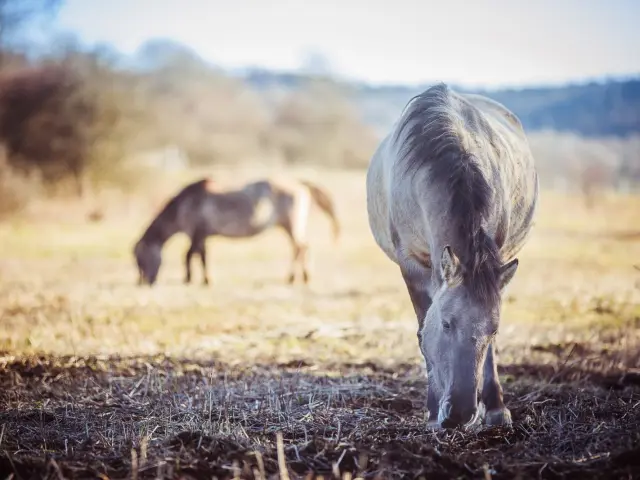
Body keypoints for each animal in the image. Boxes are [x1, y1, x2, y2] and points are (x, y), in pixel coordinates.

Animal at [134, 176, 340, 286]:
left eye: (141, 259)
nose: (145, 282)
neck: (186, 204)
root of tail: (300, 183)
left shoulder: (197, 233)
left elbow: (190, 255)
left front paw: (191, 279)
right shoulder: (202, 236)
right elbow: (201, 255)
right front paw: (203, 279)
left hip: (291, 224)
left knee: (300, 247)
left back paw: (294, 277)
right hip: (289, 226)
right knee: (301, 247)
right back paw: (301, 277)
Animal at [366, 83, 539, 429]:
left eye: (493, 330)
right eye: (446, 324)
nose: (460, 413)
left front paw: (496, 408)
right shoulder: (412, 265)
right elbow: (423, 330)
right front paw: (433, 411)